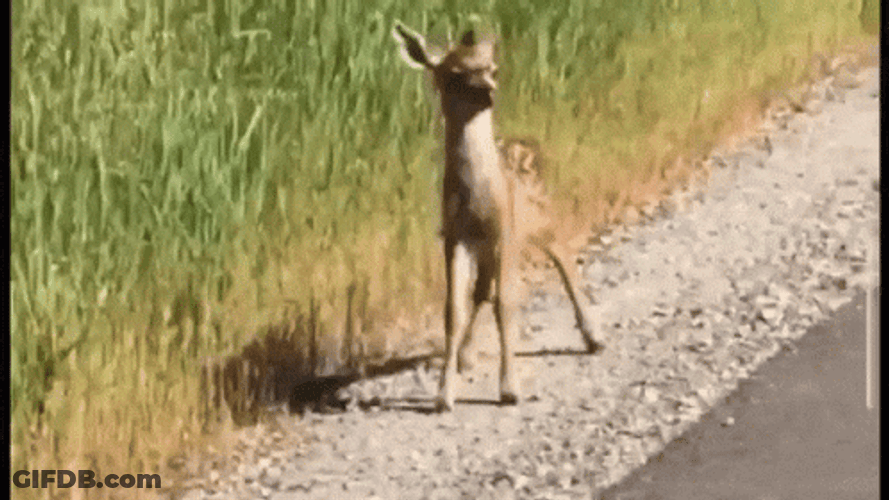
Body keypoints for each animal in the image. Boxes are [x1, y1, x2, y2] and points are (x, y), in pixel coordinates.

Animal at [392, 21, 602, 412]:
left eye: (492, 69)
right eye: (454, 74)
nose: (489, 91)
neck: (477, 199)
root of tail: (528, 143)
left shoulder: (505, 232)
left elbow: (506, 304)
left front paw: (510, 389)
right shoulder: (455, 237)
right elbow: (454, 309)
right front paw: (444, 394)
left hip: (541, 218)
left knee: (564, 258)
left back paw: (594, 336)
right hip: (489, 245)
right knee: (481, 290)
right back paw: (467, 355)